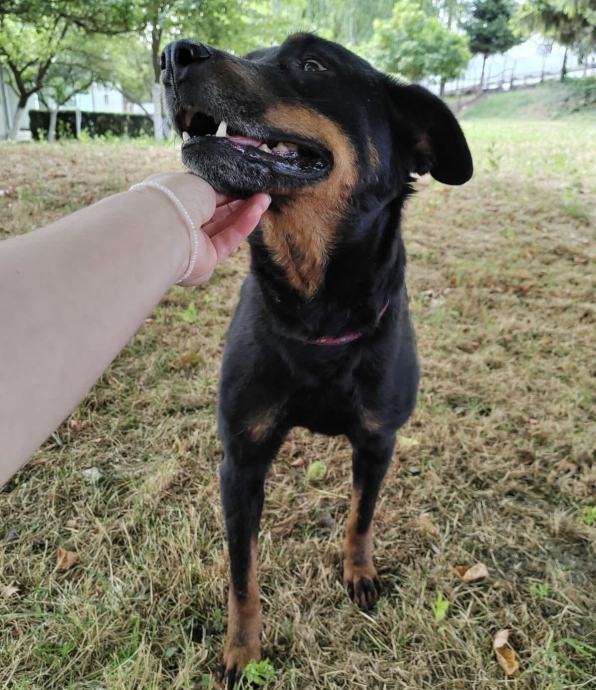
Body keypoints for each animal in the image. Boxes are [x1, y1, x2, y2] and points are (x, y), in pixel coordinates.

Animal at [161, 32, 472, 687]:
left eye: (311, 64)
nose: (174, 53)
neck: (316, 310)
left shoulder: (378, 441)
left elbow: (360, 516)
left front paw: (358, 571)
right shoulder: (241, 461)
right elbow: (243, 573)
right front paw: (243, 651)